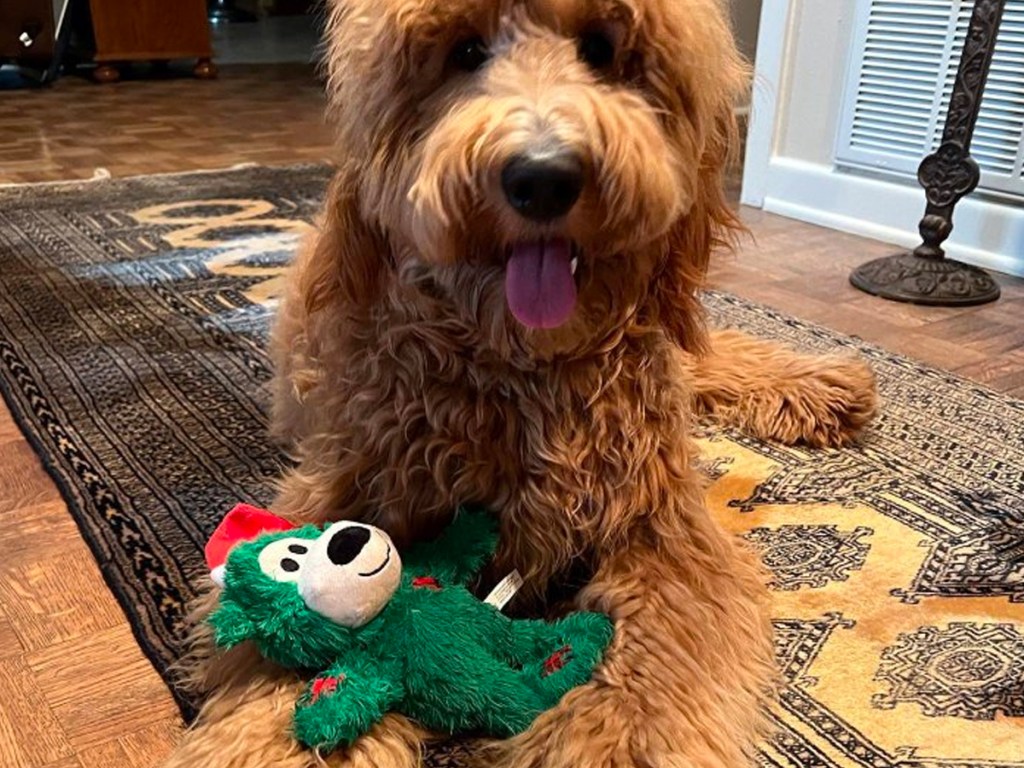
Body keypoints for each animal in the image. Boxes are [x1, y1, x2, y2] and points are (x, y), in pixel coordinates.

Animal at [163, 1, 876, 768]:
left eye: (601, 49)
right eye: (464, 52)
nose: (542, 177)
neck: (521, 364)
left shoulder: (661, 527)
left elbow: (655, 668)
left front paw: (604, 743)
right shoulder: (349, 483)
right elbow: (286, 639)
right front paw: (269, 740)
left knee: (708, 358)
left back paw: (827, 383)